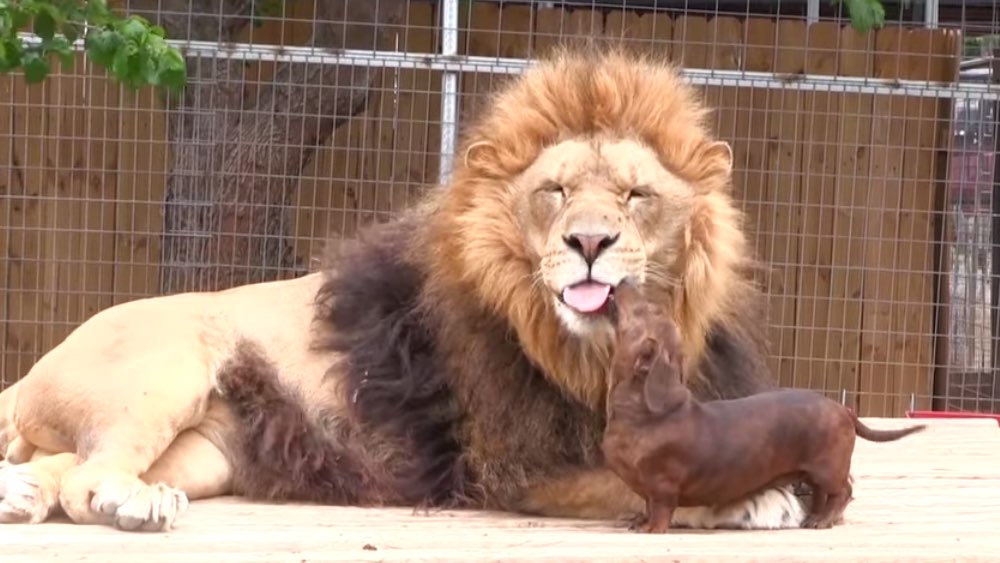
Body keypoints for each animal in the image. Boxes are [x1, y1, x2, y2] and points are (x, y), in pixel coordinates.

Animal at [0, 45, 808, 532]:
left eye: (637, 196)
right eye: (554, 191)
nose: (588, 244)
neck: (592, 351)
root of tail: (43, 361)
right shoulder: (511, 468)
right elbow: (638, 481)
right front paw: (760, 495)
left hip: (207, 452)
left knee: (56, 467)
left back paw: (29, 497)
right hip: (163, 373)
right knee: (87, 477)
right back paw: (123, 502)